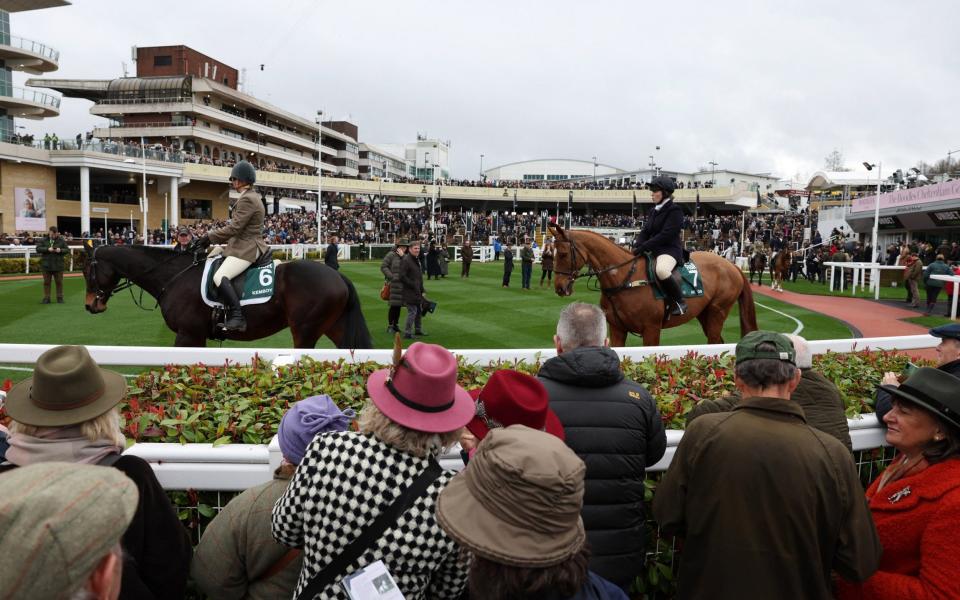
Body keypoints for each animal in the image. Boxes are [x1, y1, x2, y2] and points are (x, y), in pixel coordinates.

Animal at [82, 243, 372, 350]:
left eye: (87, 271)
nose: (90, 305)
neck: (175, 276)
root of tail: (337, 275)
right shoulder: (195, 337)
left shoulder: (188, 335)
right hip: (335, 327)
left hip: (305, 331)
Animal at [548, 224, 756, 346]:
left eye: (563, 254)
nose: (559, 287)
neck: (625, 278)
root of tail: (732, 266)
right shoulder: (617, 329)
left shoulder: (651, 330)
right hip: (705, 315)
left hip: (716, 313)